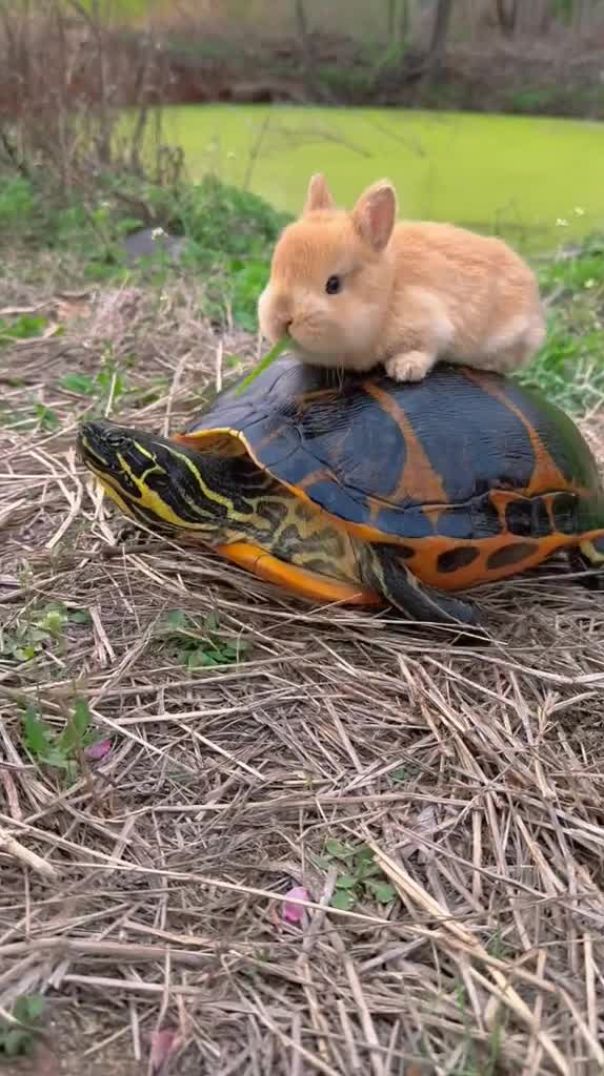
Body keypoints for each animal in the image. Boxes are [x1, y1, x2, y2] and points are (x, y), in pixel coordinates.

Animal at [256, 172, 544, 383]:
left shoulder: (432, 321)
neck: (388, 292)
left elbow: (427, 348)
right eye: (275, 270)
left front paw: (404, 369)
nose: (282, 320)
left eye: (333, 285)